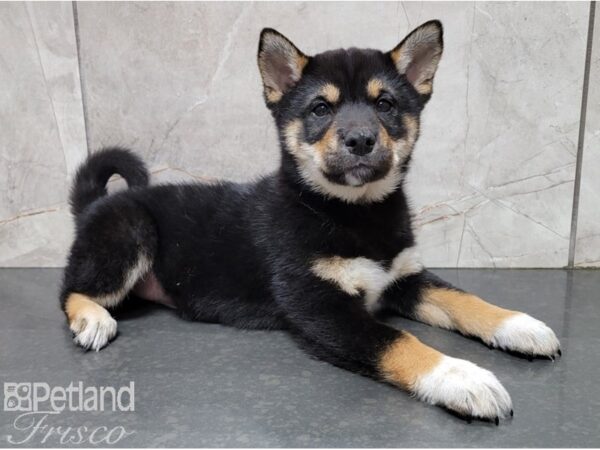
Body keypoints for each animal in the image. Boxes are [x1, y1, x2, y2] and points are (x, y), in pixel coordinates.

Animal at [59, 21, 556, 422]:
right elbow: (398, 341)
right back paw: (93, 319)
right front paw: (461, 377)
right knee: (71, 291)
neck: (353, 212)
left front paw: (519, 325)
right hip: (131, 231)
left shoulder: (402, 277)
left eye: (386, 104)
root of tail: (97, 203)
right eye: (321, 108)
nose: (360, 139)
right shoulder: (319, 305)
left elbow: (464, 300)